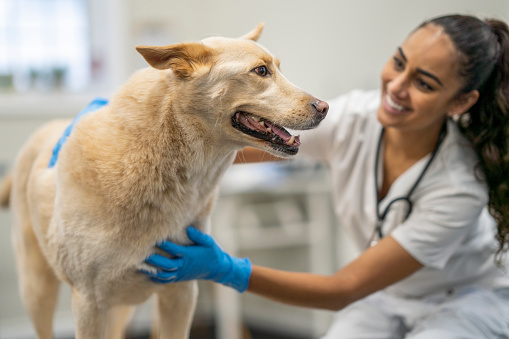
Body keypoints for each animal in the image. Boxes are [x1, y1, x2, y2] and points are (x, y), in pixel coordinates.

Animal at [0, 22, 328, 338]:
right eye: (261, 71)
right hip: (38, 290)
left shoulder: (182, 289)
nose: (325, 108)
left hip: (119, 309)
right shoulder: (88, 302)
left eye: (279, 68)